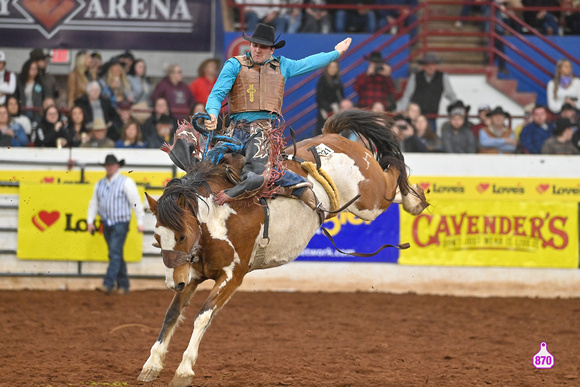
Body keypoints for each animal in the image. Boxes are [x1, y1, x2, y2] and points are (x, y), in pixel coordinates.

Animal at [138, 109, 428, 387]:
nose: (173, 283)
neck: (218, 216)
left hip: (370, 200)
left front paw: (184, 370)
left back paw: (415, 200)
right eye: (157, 239)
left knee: (392, 176)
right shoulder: (193, 274)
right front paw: (151, 365)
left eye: (182, 236)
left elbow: (202, 316)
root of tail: (336, 136)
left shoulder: (232, 277)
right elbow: (172, 314)